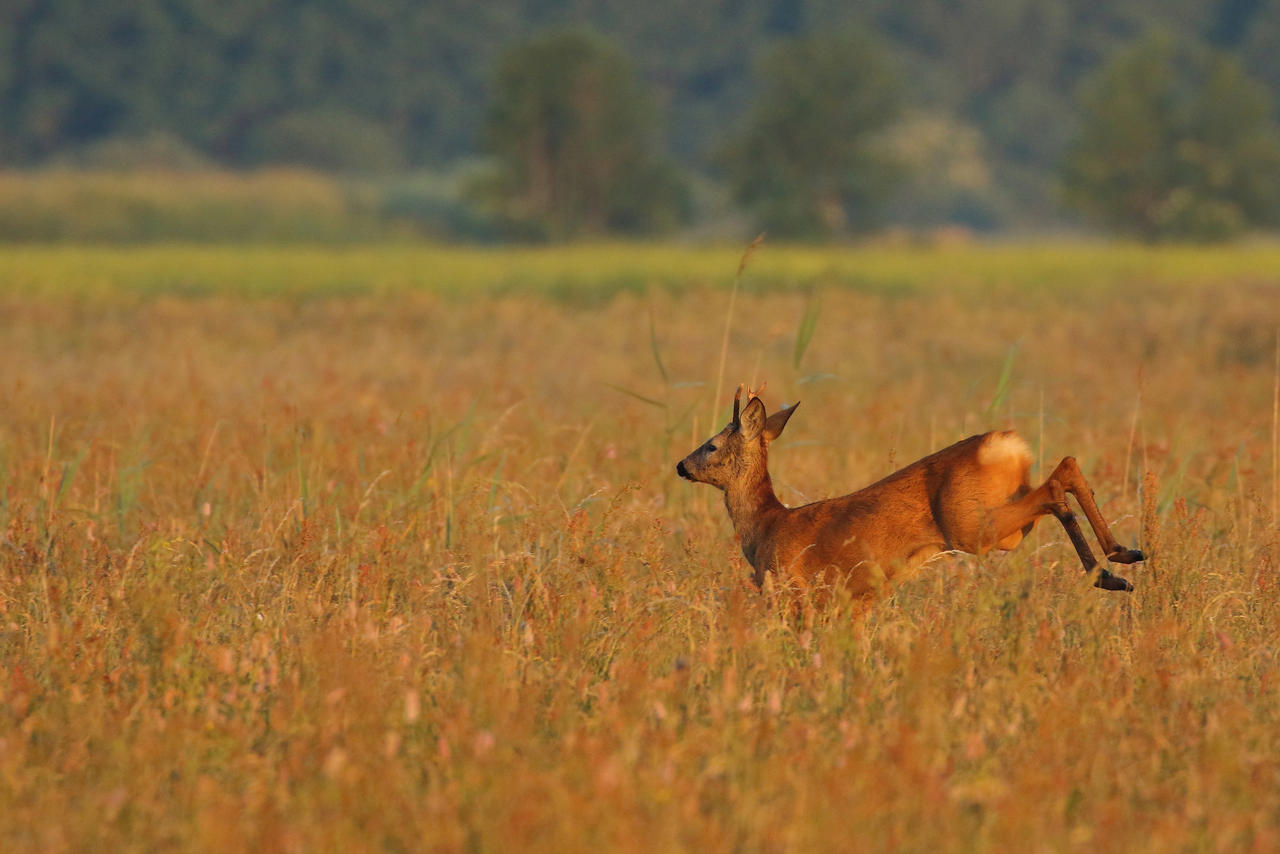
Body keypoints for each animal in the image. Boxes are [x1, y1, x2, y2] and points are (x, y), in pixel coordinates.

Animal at [675, 384, 1146, 599]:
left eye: (711, 445)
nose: (681, 465)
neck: (767, 525)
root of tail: (1007, 444)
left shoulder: (794, 588)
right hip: (1005, 524)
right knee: (1065, 469)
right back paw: (1121, 559)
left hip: (973, 526)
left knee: (1053, 490)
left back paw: (1109, 571)